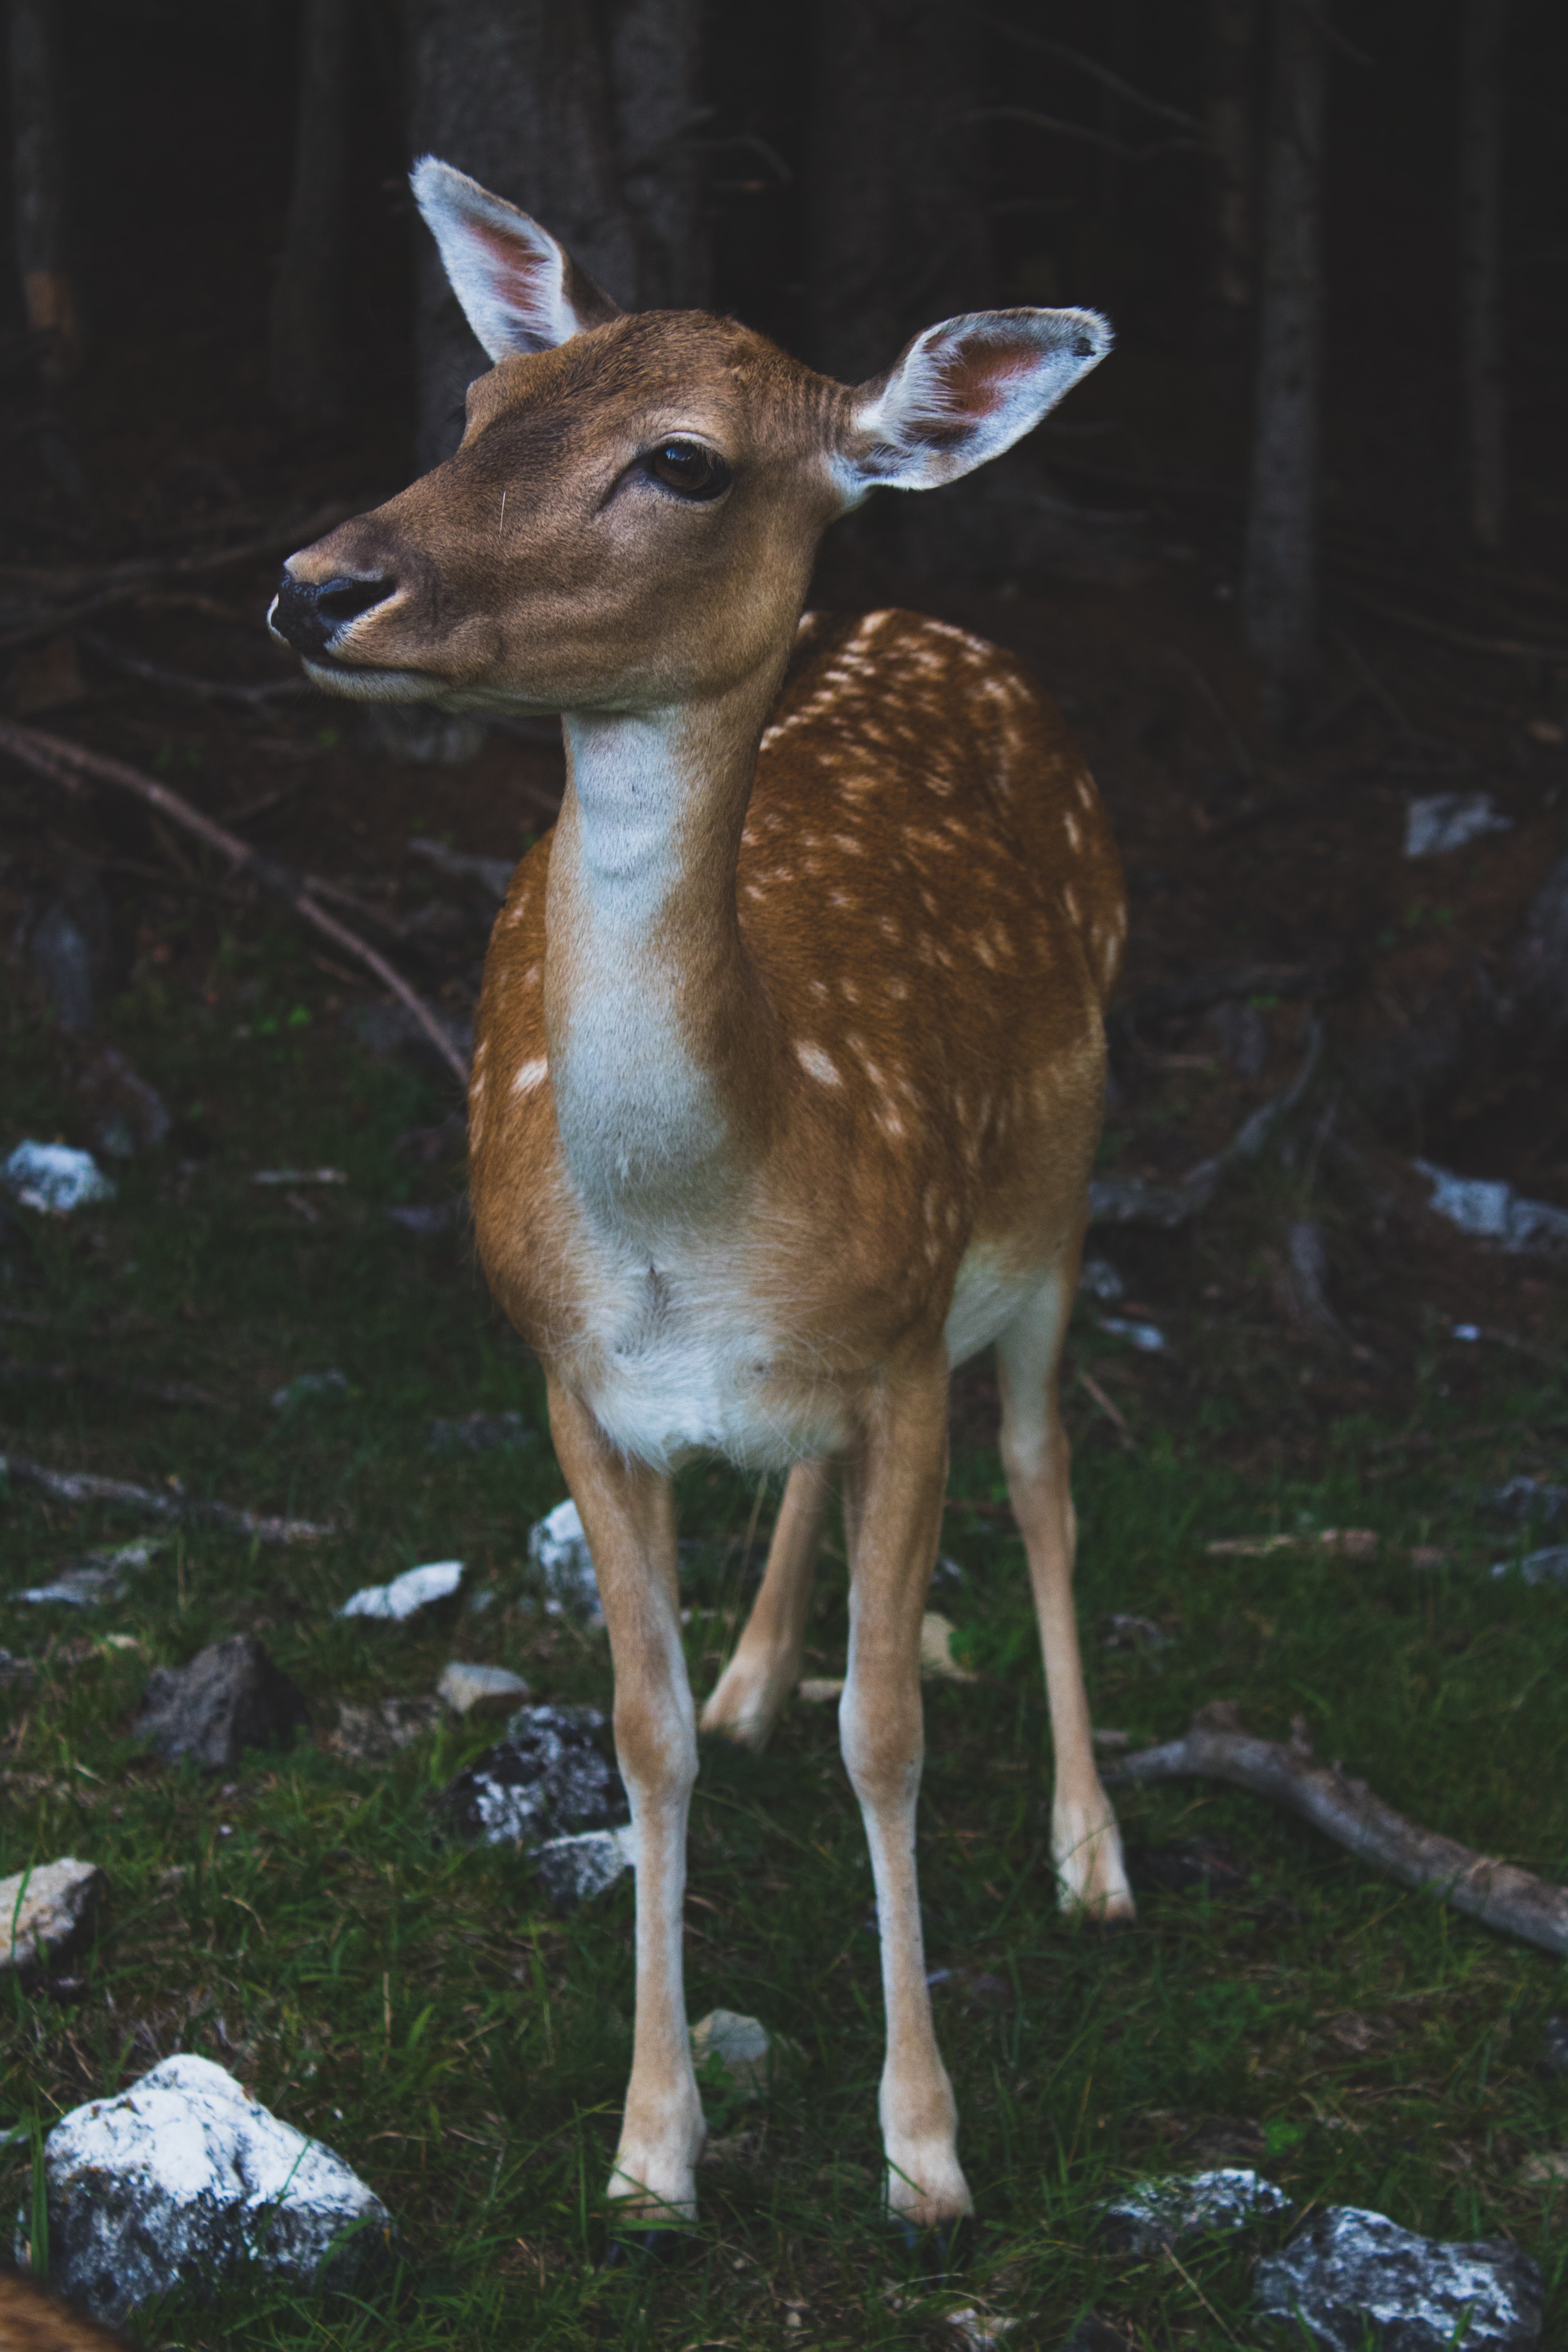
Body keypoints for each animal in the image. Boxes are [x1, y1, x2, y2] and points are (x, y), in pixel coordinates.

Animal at [269, 157, 1134, 2244]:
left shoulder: (904, 1345)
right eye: (483, 406)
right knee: (815, 1502)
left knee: (1045, 1469)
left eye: (683, 462)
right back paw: (756, 1673)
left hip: (1054, 1194)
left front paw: (926, 2151)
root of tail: (942, 625)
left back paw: (1093, 1855)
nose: (318, 583)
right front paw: (653, 2148)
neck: (704, 1215)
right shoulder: (574, 1378)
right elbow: (638, 1730)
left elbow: (889, 1729)